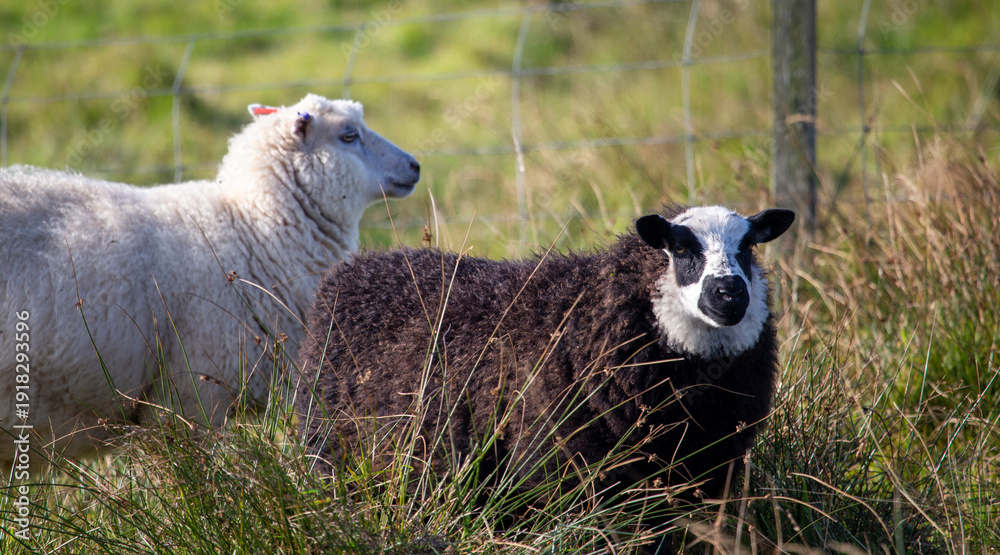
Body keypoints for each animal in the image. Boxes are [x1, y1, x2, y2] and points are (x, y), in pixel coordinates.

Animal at [296, 204, 794, 550]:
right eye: (682, 249)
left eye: (747, 247)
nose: (730, 294)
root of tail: (358, 267)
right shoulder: (574, 471)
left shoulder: (706, 469)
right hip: (333, 453)